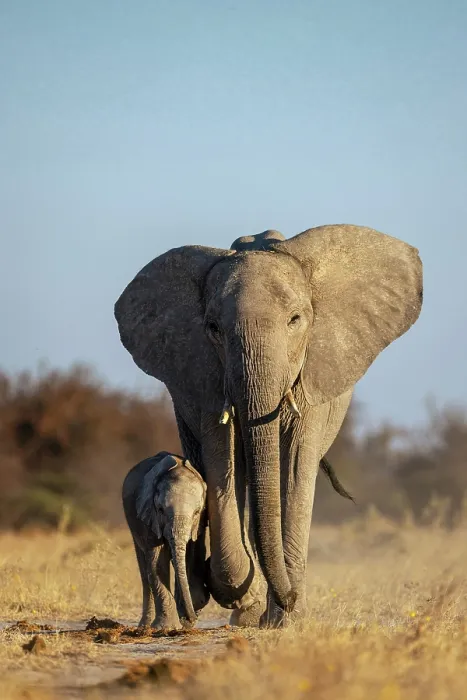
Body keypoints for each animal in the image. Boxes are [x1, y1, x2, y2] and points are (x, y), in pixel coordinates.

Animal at [122, 451, 209, 629]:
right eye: (161, 510)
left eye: (197, 512)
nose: (191, 619)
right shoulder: (148, 516)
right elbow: (158, 563)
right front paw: (167, 627)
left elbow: (187, 558)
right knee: (144, 569)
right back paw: (144, 626)